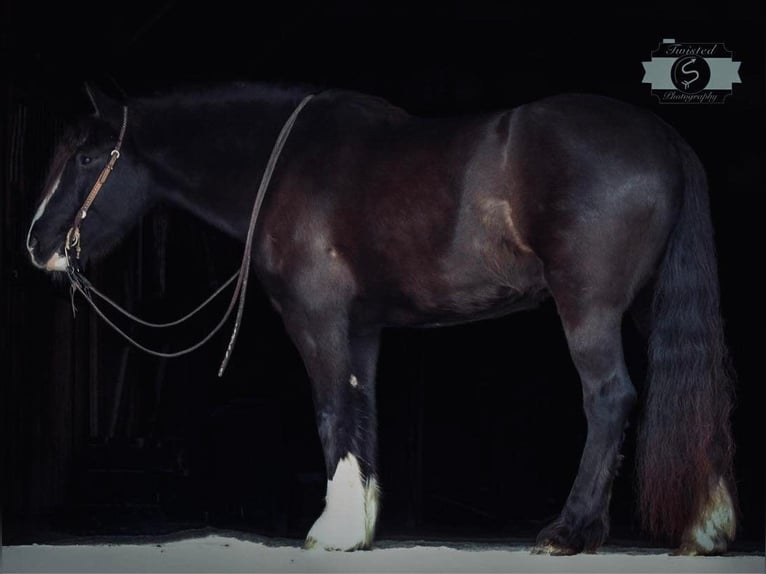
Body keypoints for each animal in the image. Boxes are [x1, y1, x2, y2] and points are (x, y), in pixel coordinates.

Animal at [27, 83, 740, 556]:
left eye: (86, 159)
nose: (36, 245)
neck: (288, 168)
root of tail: (665, 138)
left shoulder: (315, 315)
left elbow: (329, 411)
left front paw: (334, 528)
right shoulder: (361, 327)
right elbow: (361, 407)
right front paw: (361, 522)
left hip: (588, 307)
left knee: (609, 399)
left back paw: (568, 532)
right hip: (647, 305)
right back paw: (706, 528)